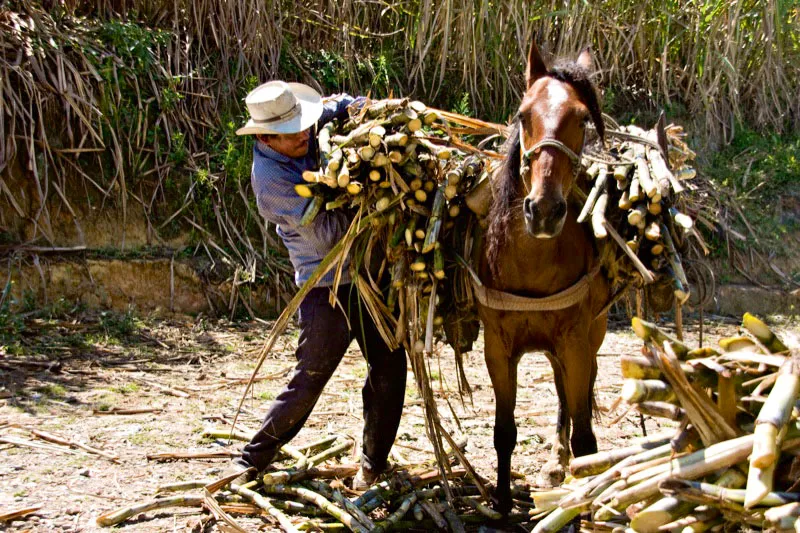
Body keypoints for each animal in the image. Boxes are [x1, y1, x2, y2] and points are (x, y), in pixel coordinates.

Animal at [478, 39, 608, 512]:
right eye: (522, 115)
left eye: (583, 119)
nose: (546, 211)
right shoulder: (497, 347)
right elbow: (503, 430)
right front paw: (500, 502)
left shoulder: (574, 340)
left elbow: (587, 438)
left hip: (588, 338)